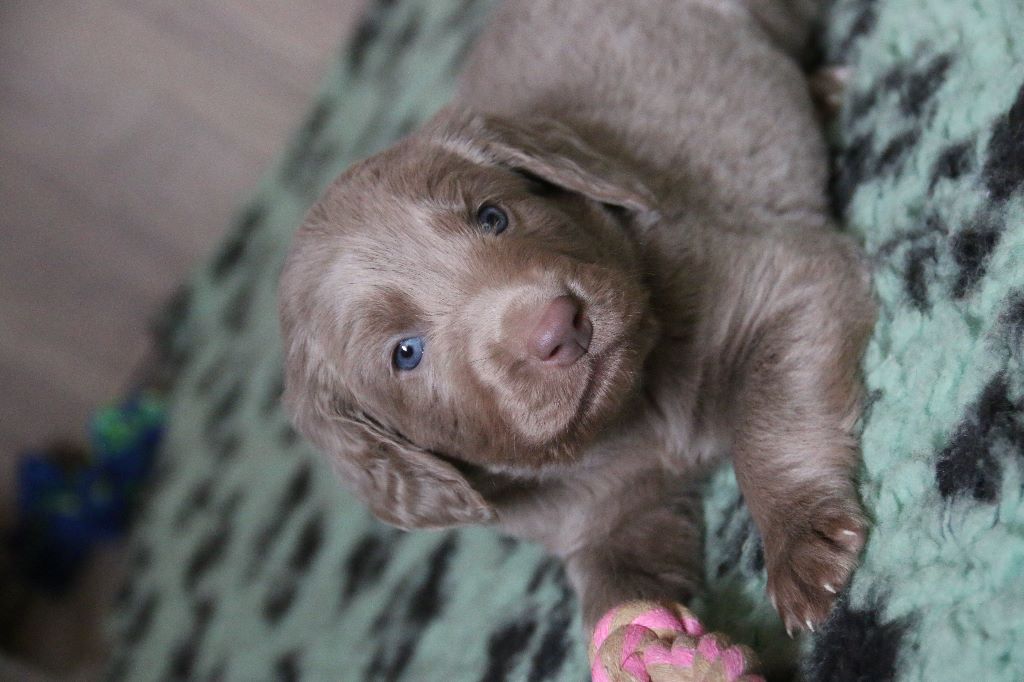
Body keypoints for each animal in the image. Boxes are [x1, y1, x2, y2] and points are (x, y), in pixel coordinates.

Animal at [278, 0, 872, 638]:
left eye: (493, 217)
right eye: (405, 353)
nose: (557, 326)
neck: (630, 415)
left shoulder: (788, 279)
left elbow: (764, 418)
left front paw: (800, 544)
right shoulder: (599, 521)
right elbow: (614, 596)